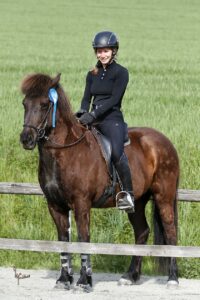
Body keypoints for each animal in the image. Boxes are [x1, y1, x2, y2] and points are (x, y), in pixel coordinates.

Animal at [19, 72, 180, 290]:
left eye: (45, 105)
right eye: (25, 103)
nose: (26, 138)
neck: (65, 151)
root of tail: (164, 141)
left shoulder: (81, 203)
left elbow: (83, 238)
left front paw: (84, 281)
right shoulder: (55, 205)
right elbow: (63, 240)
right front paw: (64, 279)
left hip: (164, 196)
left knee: (170, 232)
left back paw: (172, 278)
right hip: (137, 202)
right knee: (142, 232)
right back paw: (130, 276)